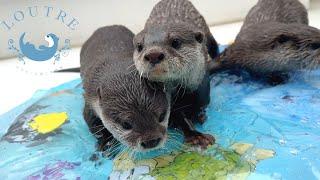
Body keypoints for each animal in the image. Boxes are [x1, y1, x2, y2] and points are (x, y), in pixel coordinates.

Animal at [131, 0, 216, 148]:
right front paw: (196, 136)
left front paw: (199, 115)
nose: (153, 54)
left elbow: (202, 103)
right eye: (140, 46)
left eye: (176, 42)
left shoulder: (202, 86)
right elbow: (178, 116)